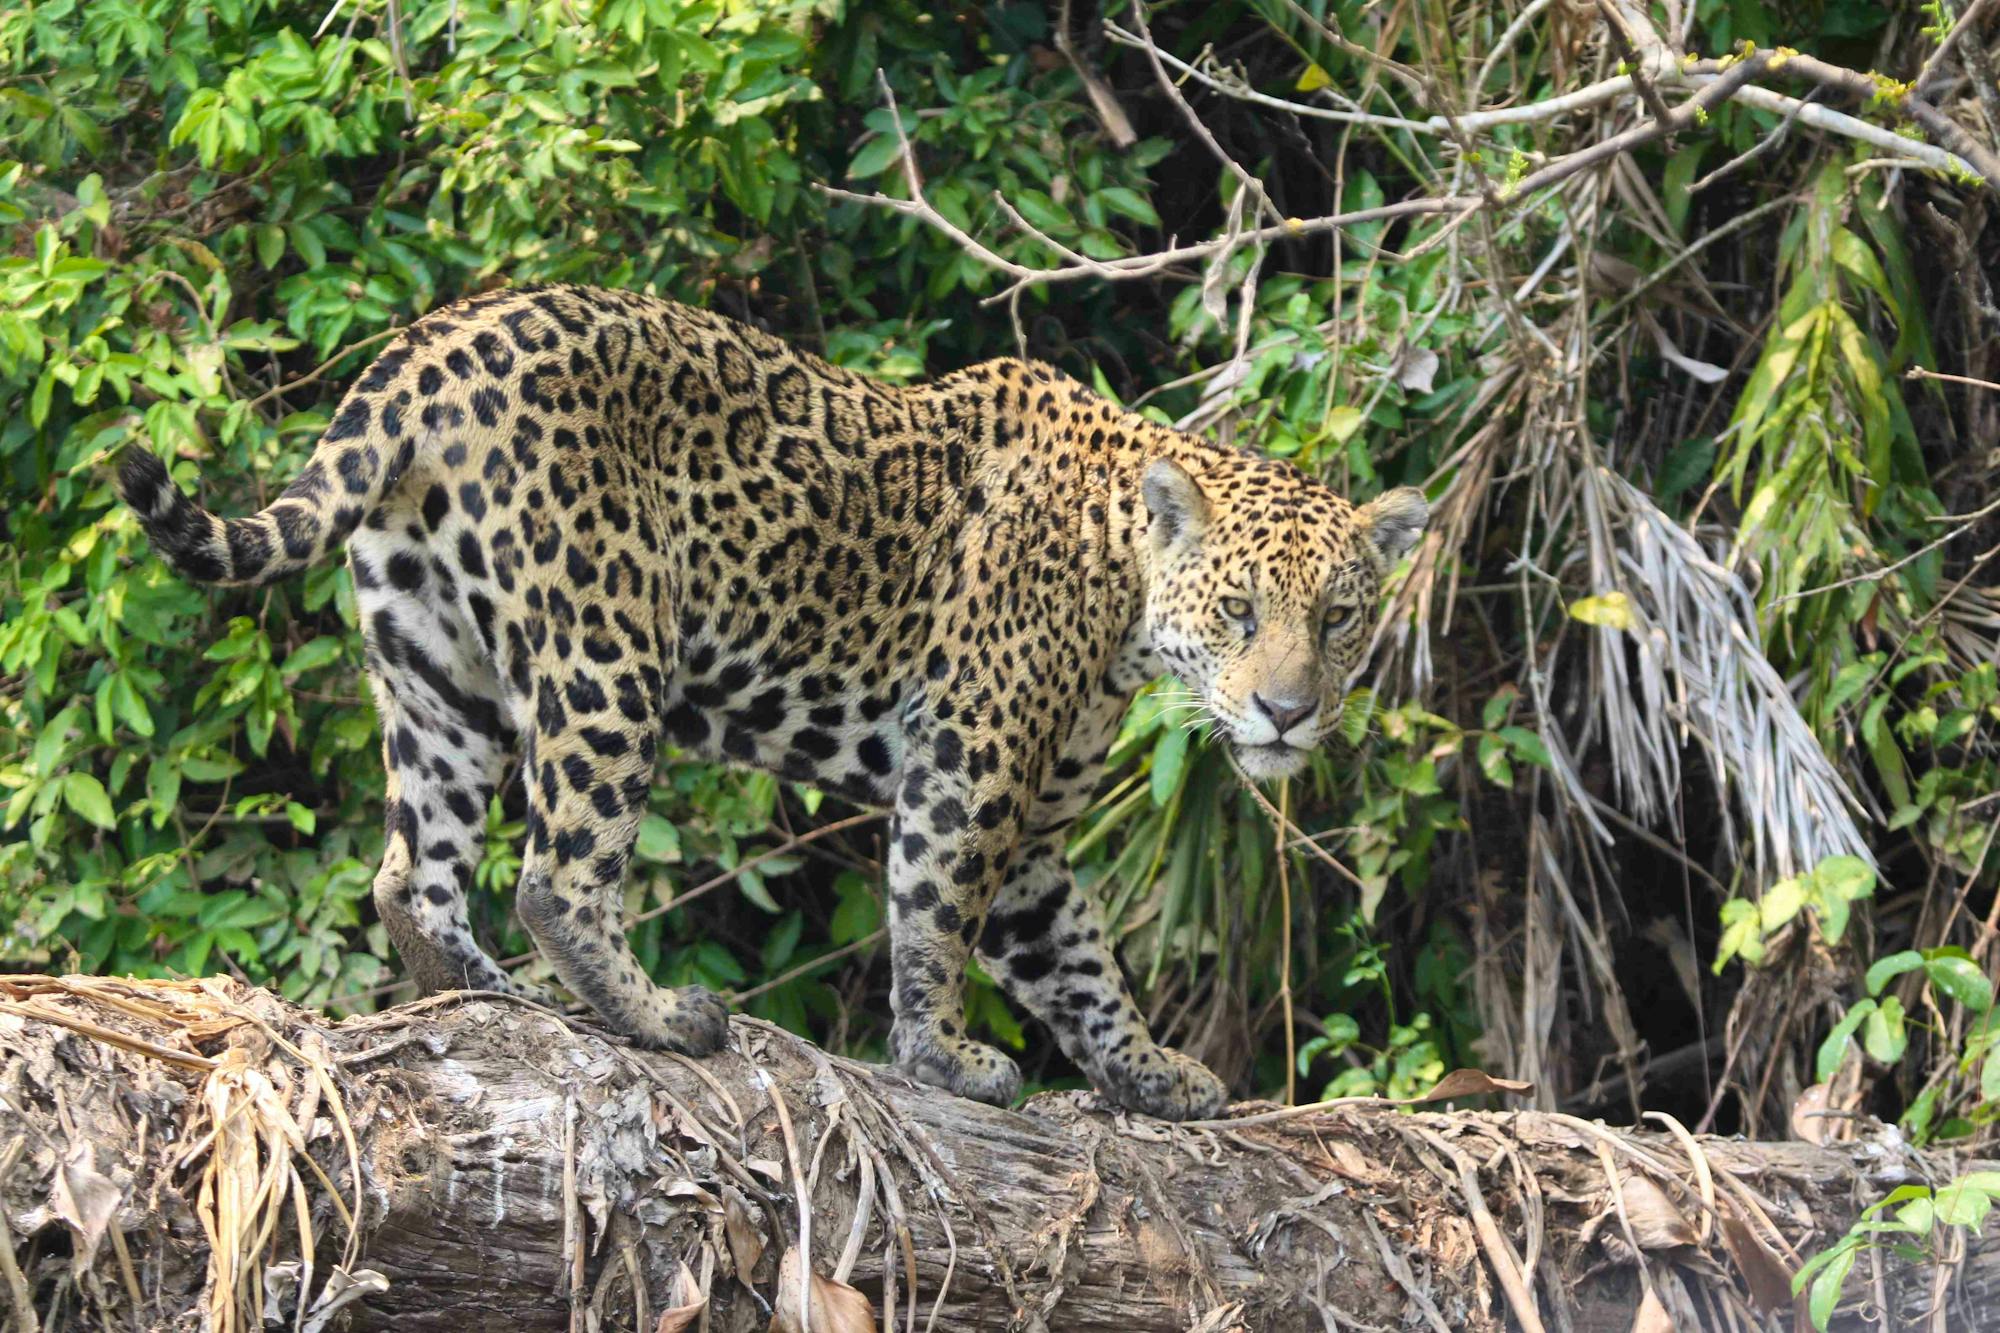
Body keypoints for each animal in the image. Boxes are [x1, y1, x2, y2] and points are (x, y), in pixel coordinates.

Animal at [119, 283, 1427, 1121]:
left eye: (1338, 618)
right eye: (1241, 611)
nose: (1287, 714)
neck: (1121, 590)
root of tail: (424, 347)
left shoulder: (1039, 829)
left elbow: (1077, 961)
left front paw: (1151, 1074)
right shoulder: (970, 758)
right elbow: (935, 918)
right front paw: (944, 1063)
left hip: (437, 670)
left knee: (411, 874)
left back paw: (493, 998)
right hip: (607, 647)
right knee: (558, 876)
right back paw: (660, 1019)